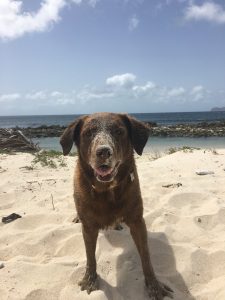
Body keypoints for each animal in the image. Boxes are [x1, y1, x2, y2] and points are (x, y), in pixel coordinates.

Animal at [59, 113, 172, 300]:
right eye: (88, 133)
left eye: (119, 131)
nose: (103, 151)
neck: (107, 190)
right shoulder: (88, 227)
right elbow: (90, 257)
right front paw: (90, 280)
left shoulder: (137, 222)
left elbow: (146, 256)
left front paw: (154, 286)